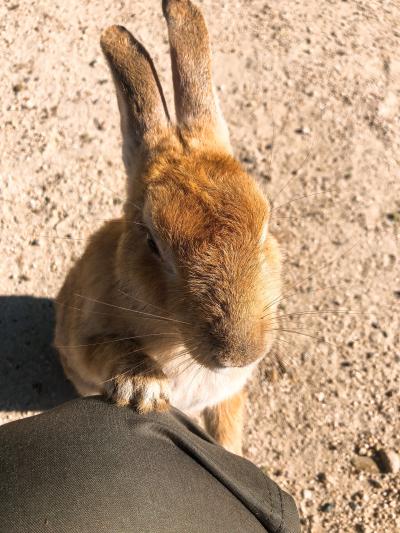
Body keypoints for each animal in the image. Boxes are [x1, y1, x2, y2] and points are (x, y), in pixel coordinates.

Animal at [54, 0, 282, 454]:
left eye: (265, 225)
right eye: (152, 242)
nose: (240, 352)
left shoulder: (229, 395)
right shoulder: (86, 335)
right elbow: (105, 349)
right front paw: (142, 389)